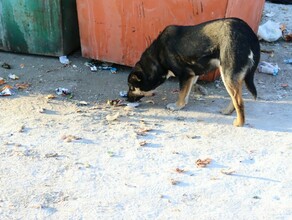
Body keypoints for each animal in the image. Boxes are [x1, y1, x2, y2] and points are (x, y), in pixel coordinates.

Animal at [128, 17, 260, 126]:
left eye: (132, 88)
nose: (126, 98)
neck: (157, 57)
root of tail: (250, 35)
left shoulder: (185, 75)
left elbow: (181, 93)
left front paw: (177, 106)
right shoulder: (192, 75)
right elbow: (186, 92)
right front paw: (183, 103)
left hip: (227, 74)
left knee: (239, 101)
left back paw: (239, 123)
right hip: (232, 77)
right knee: (236, 97)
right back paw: (228, 111)